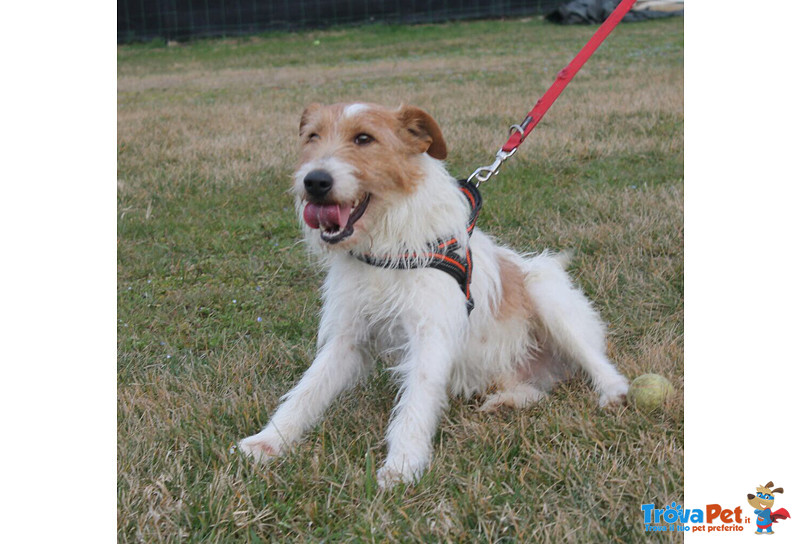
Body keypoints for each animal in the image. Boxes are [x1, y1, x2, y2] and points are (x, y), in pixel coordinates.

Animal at [239, 102, 632, 488]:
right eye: (312, 136)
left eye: (364, 138)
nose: (314, 181)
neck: (386, 243)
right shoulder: (347, 337)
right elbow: (308, 389)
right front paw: (269, 441)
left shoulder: (430, 335)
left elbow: (416, 400)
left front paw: (402, 465)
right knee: (531, 387)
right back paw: (508, 400)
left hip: (546, 294)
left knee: (598, 363)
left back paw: (612, 392)